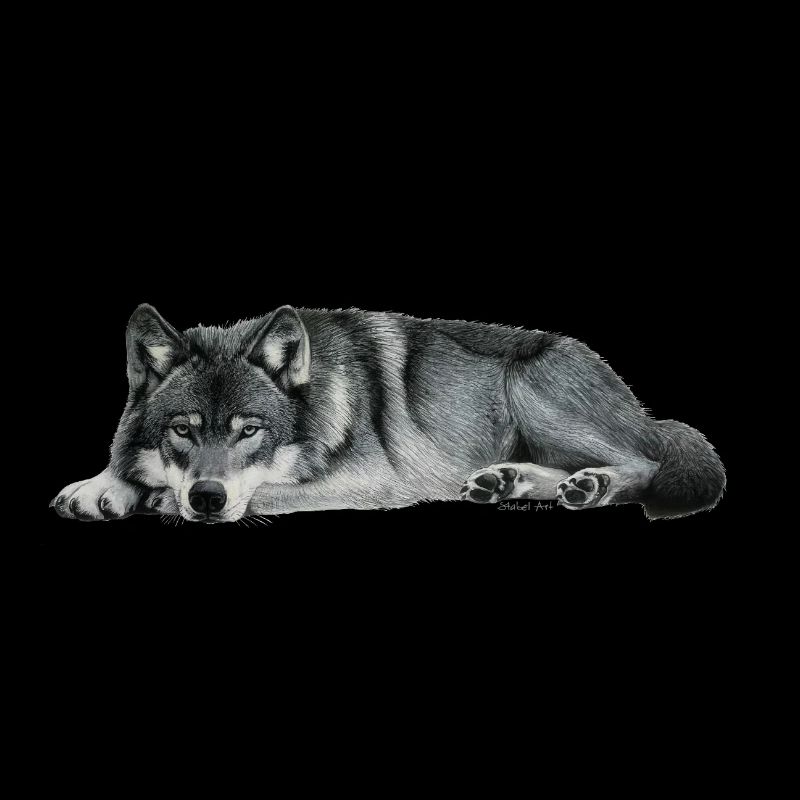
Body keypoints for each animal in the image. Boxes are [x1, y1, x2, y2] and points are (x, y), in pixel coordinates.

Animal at [51, 304, 725, 523]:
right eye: (183, 429)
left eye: (250, 431)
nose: (208, 498)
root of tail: (643, 409)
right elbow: (127, 467)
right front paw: (100, 487)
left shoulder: (373, 481)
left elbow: (262, 490)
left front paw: (156, 498)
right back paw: (507, 482)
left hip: (535, 391)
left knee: (644, 463)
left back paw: (592, 485)